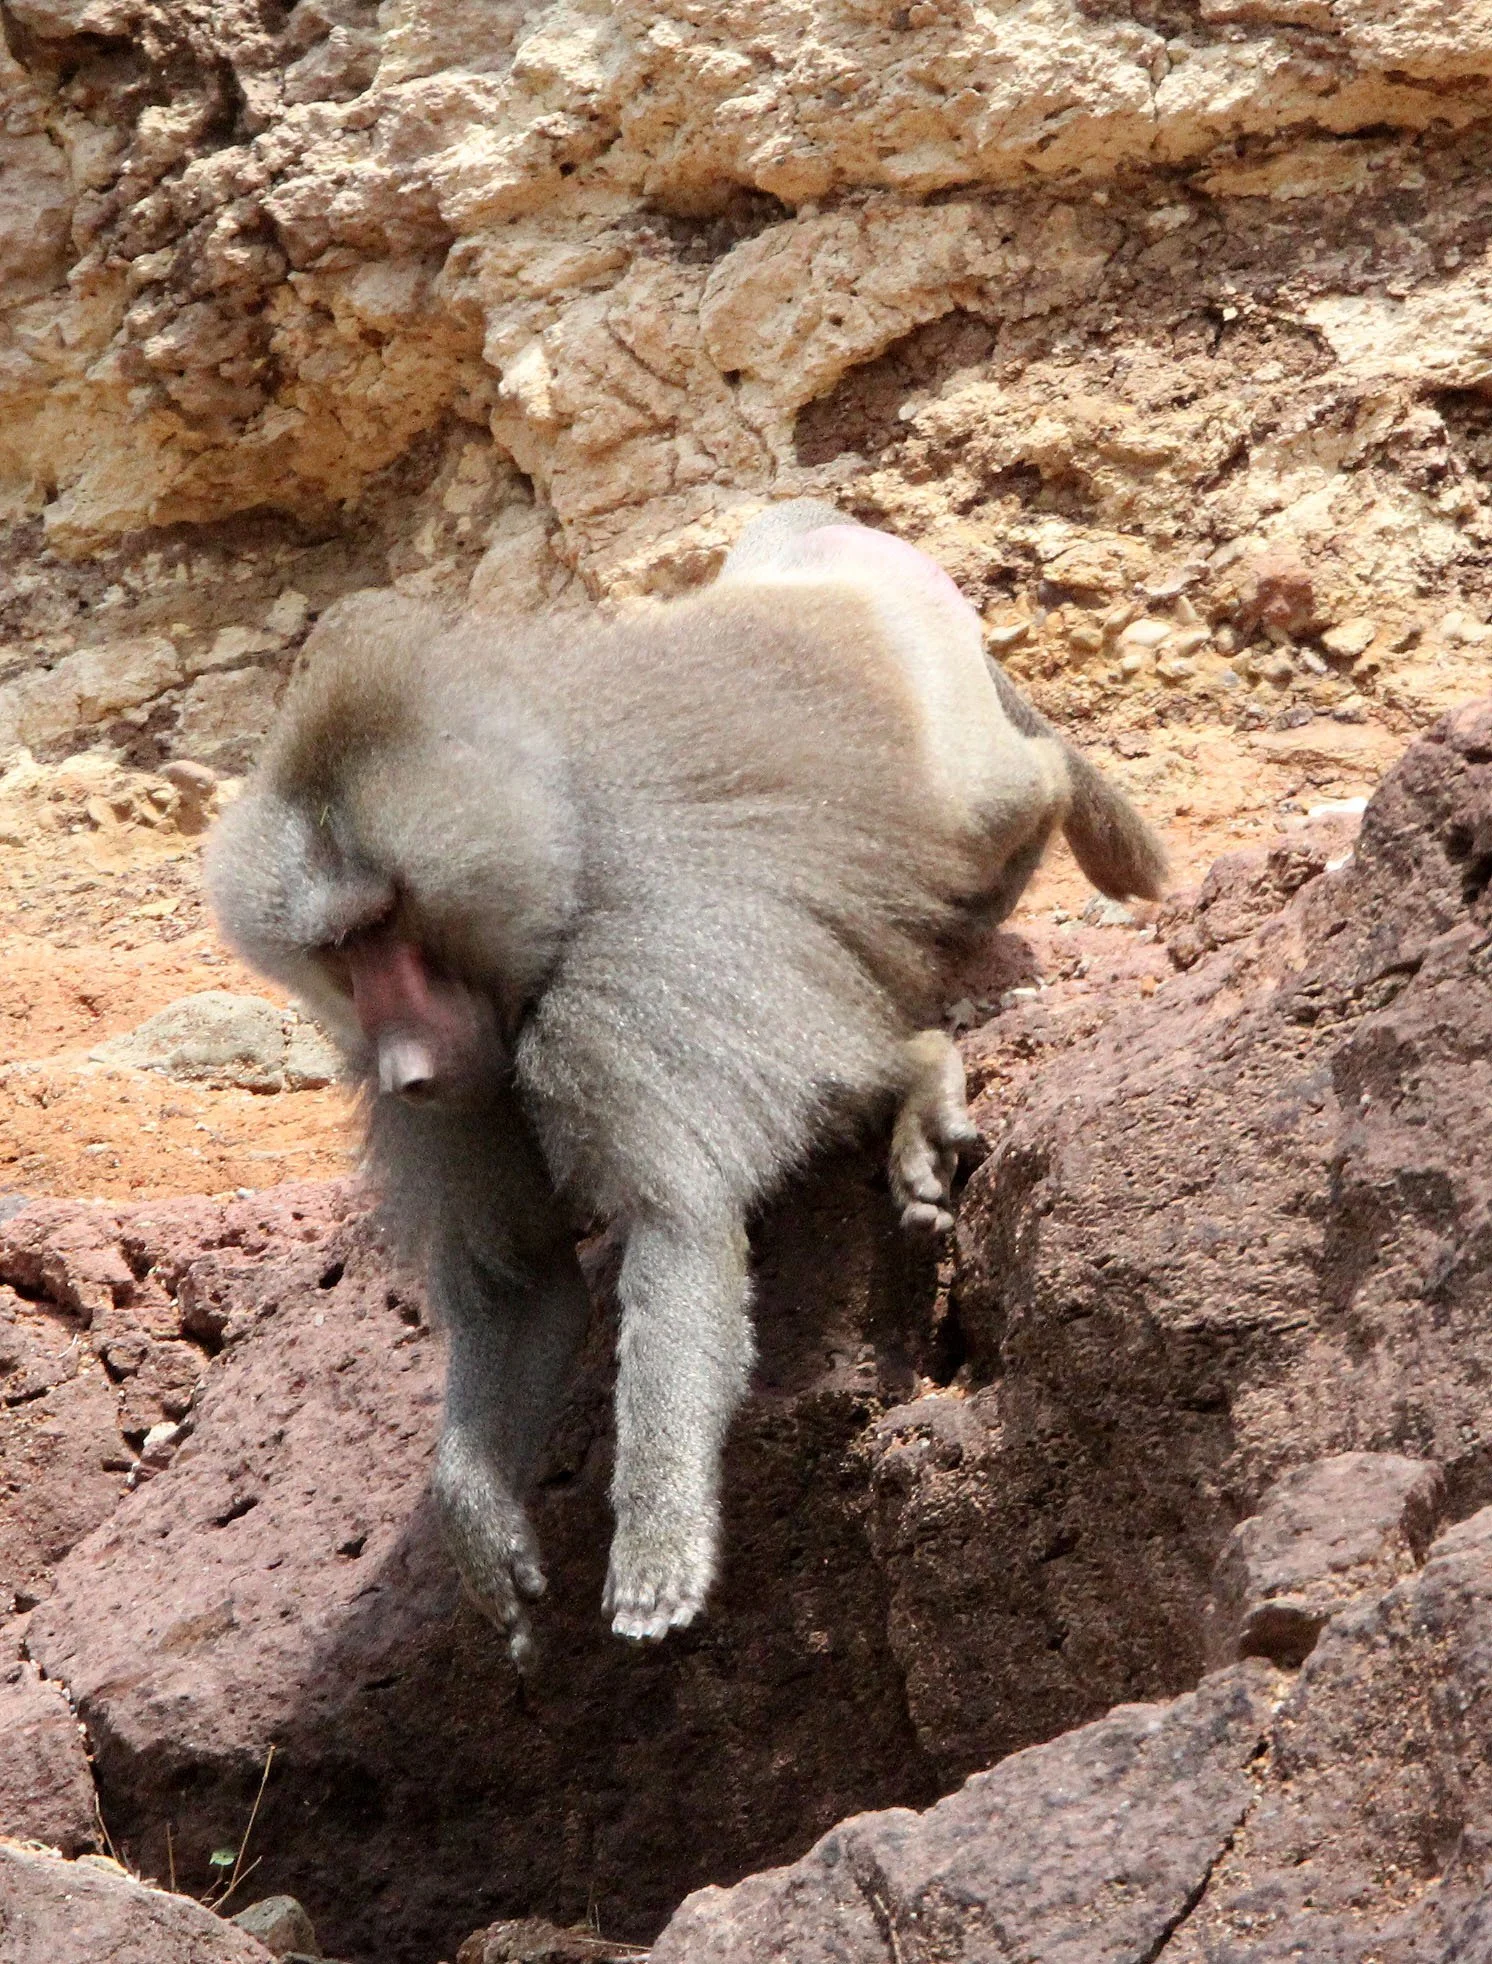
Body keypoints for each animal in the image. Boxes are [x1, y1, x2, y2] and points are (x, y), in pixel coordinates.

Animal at [205, 500, 1166, 1661]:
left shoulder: (619, 985)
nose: (403, 1073)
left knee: (1009, 793)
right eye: (340, 952)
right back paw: (918, 1074)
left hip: (928, 682)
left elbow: (680, 1228)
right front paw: (478, 1522)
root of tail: (812, 532)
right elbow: (527, 1287)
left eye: (389, 925)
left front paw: (659, 1542)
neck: (552, 862)